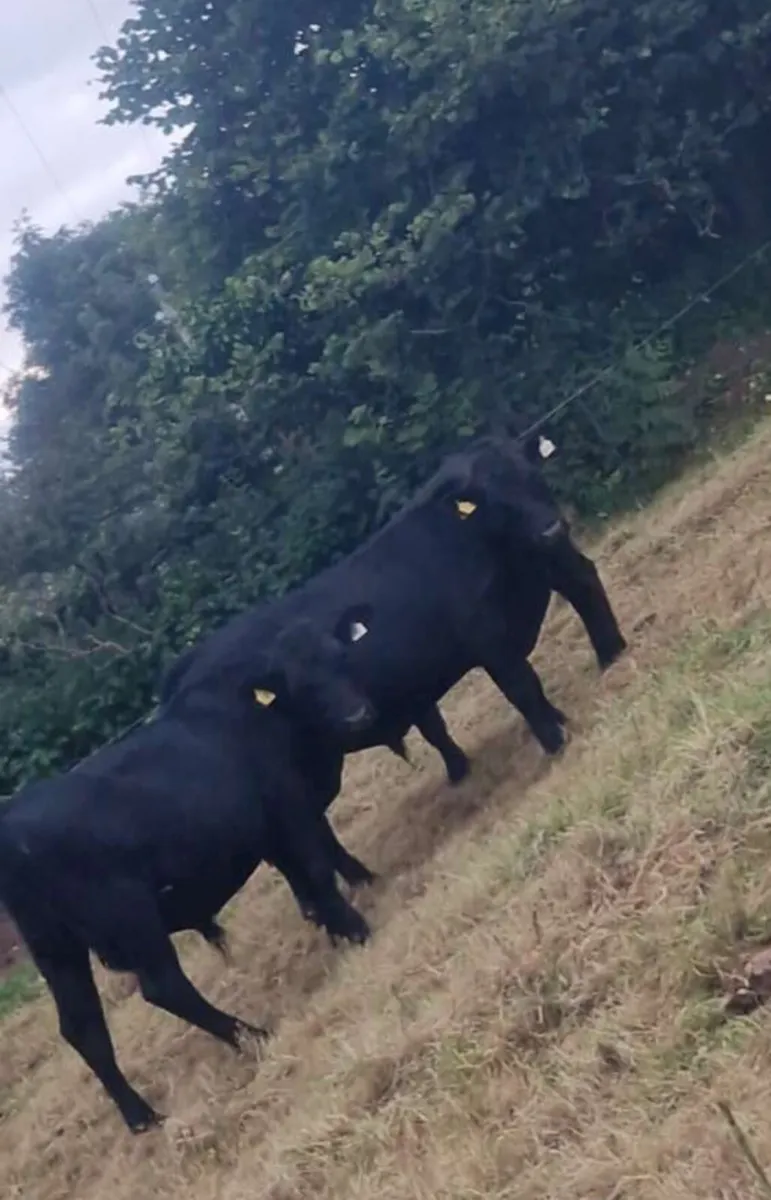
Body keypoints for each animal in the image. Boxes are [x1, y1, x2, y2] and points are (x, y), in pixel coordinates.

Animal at [0, 607, 378, 1134]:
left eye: (341, 657)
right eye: (300, 682)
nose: (357, 714)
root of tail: (13, 821)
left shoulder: (266, 828)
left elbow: (306, 878)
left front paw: (341, 913)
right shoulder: (286, 805)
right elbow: (319, 866)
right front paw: (357, 927)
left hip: (57, 952)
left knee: (82, 1028)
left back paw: (142, 1116)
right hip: (131, 917)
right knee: (164, 987)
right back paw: (251, 1033)